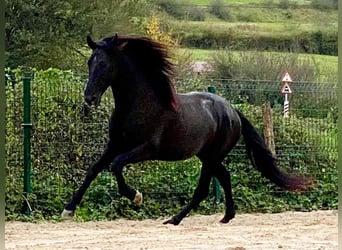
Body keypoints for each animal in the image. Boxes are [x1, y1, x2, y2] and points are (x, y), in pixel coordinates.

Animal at [61, 33, 310, 225]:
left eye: (104, 64)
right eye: (90, 63)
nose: (89, 98)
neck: (139, 105)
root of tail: (232, 110)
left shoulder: (146, 149)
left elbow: (115, 166)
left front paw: (136, 196)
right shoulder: (115, 144)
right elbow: (94, 169)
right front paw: (68, 209)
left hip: (212, 156)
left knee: (203, 189)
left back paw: (175, 219)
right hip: (207, 156)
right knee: (224, 177)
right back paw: (226, 216)